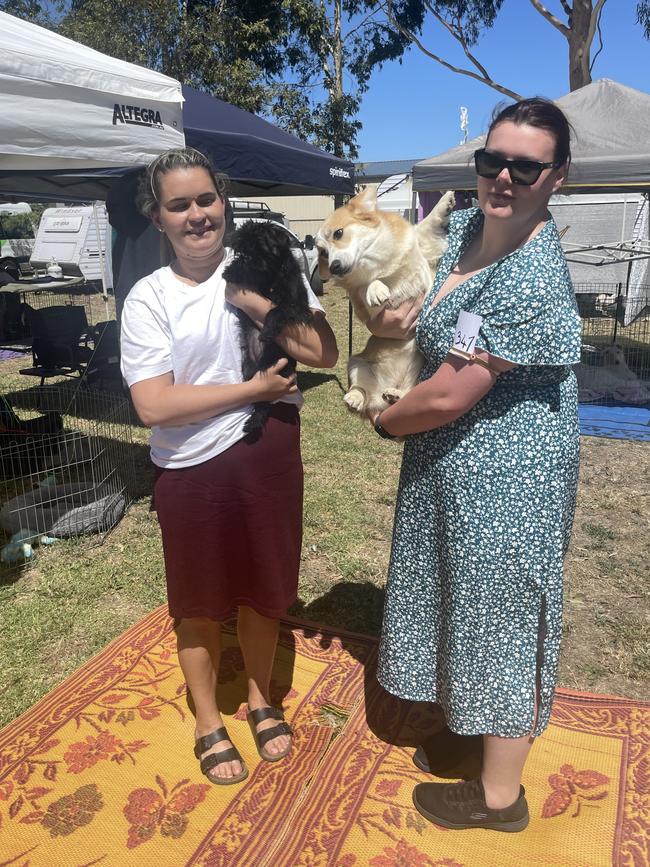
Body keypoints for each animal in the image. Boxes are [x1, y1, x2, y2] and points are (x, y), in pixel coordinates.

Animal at [223, 222, 314, 438]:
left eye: (260, 249)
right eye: (241, 251)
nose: (246, 258)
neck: (270, 278)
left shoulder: (295, 305)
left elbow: (275, 310)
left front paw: (268, 331)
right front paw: (231, 271)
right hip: (249, 370)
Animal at [312, 188, 454, 422]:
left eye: (338, 233)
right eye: (323, 253)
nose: (334, 267)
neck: (383, 265)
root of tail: (381, 399)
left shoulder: (423, 253)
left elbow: (425, 226)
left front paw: (445, 201)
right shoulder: (369, 306)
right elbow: (368, 285)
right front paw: (376, 288)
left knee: (409, 392)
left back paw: (395, 395)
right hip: (355, 364)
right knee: (360, 390)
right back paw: (356, 398)